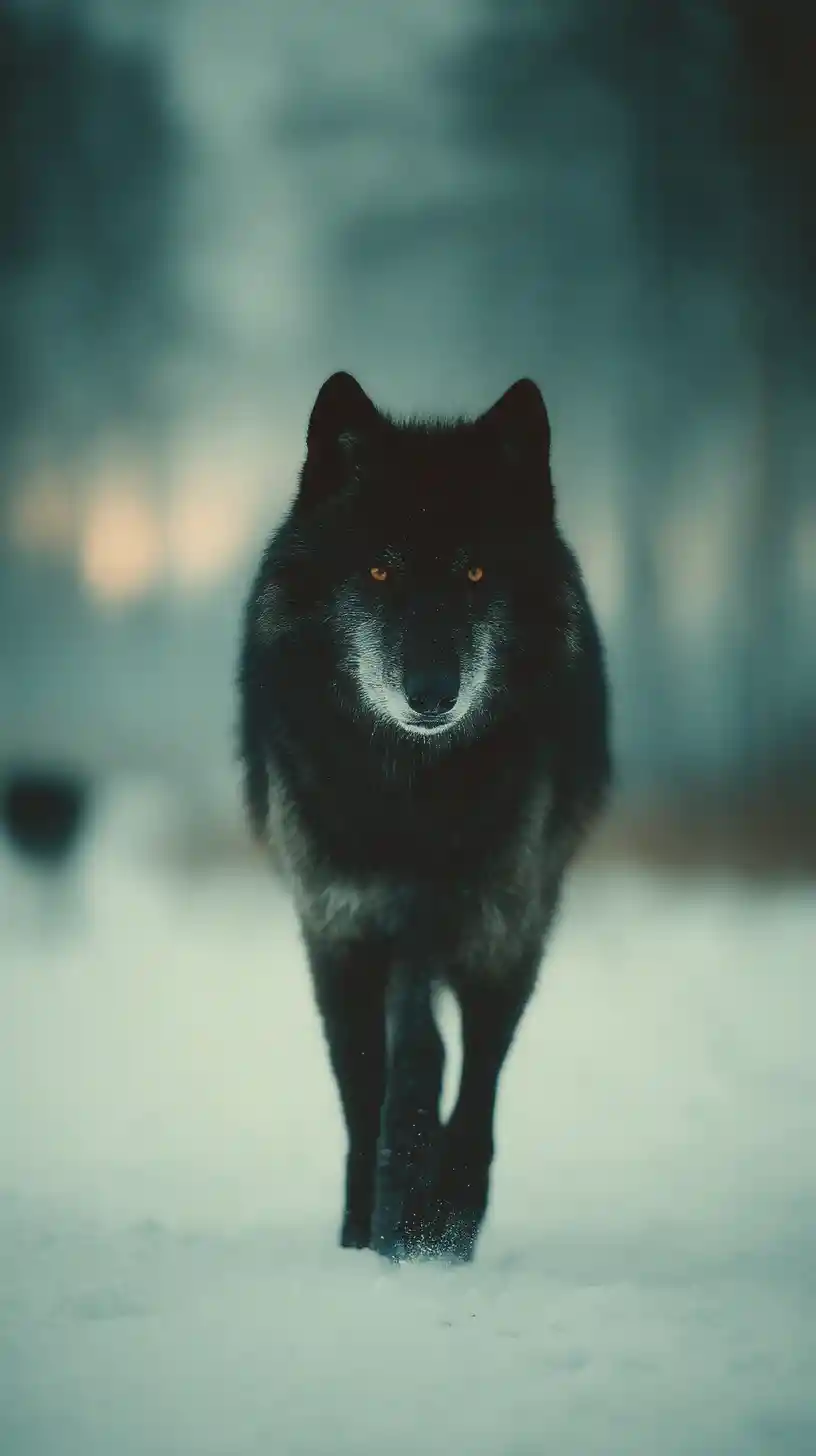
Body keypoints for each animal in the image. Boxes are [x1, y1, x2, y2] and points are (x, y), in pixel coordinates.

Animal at [238, 371, 610, 1262]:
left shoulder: (493, 931)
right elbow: (365, 1086)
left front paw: (438, 1224)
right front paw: (366, 1228)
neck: (411, 797)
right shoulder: (342, 933)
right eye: (378, 571)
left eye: (475, 573)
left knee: (469, 1064)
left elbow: (467, 1087)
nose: (433, 693)